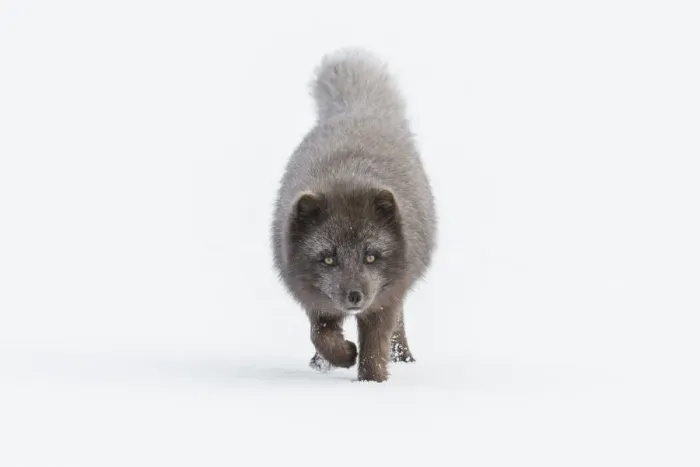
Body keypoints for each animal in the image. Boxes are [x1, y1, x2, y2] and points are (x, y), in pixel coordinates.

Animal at [271, 49, 436, 382]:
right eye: (328, 259)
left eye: (371, 256)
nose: (354, 296)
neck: (346, 176)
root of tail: (357, 109)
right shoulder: (311, 295)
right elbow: (320, 333)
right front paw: (343, 355)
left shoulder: (384, 299)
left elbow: (375, 344)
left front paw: (371, 382)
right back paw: (322, 362)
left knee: (398, 325)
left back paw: (403, 357)